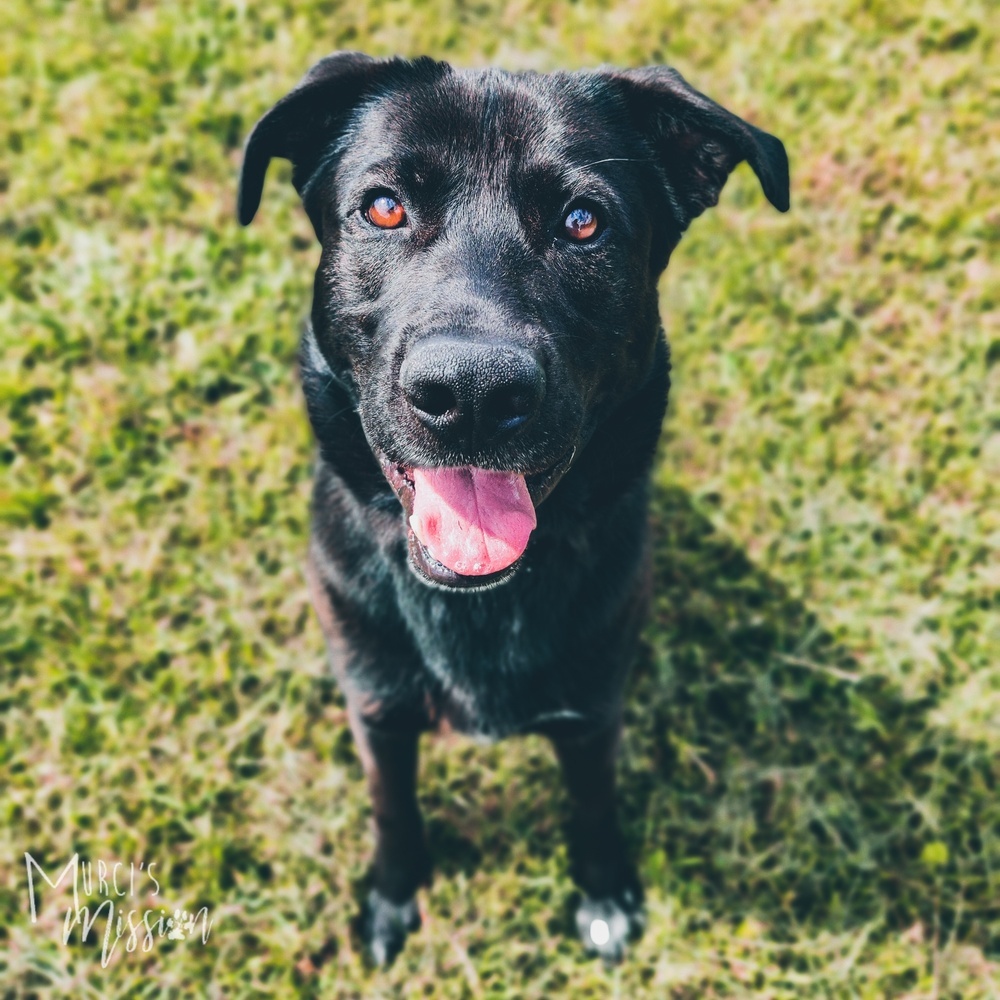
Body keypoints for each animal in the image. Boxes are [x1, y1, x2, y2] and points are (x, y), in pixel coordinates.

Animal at [236, 52, 788, 960]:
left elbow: (592, 800)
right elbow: (392, 806)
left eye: (583, 222)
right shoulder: (377, 708)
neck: (478, 602)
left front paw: (603, 893)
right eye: (384, 207)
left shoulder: (593, 708)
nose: (470, 394)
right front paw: (393, 897)